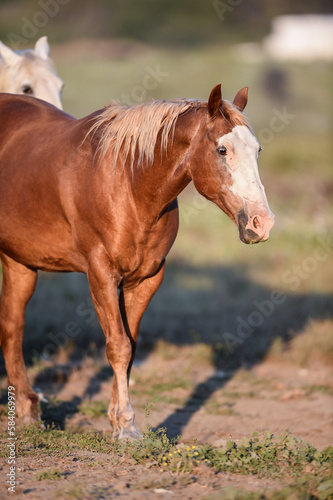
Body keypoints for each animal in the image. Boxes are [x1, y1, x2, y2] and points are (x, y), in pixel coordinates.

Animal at [0, 85, 274, 438]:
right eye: (222, 149)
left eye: (257, 150)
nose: (261, 223)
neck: (130, 184)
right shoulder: (101, 274)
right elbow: (118, 346)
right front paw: (128, 426)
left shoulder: (146, 279)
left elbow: (130, 346)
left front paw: (117, 419)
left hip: (20, 262)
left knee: (12, 327)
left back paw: (27, 410)